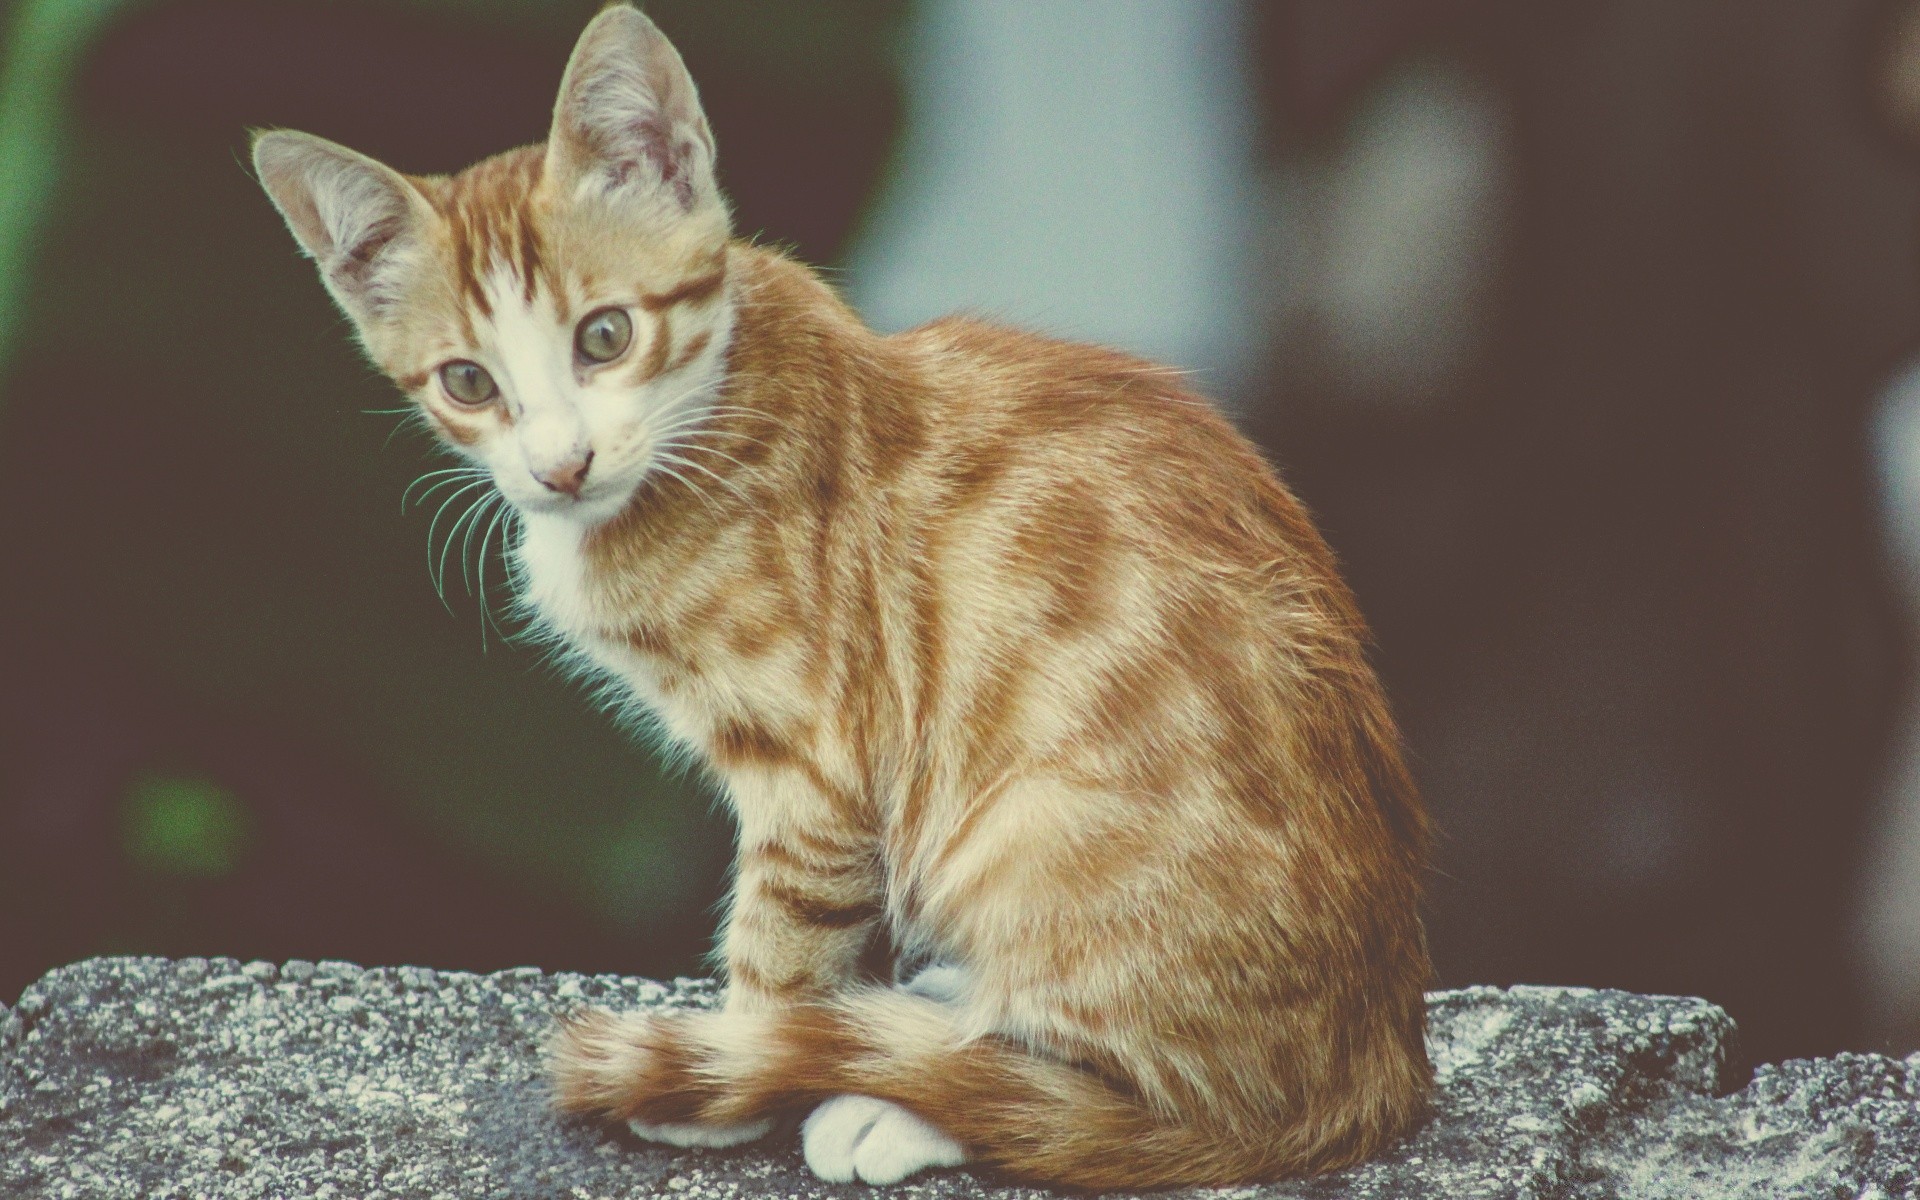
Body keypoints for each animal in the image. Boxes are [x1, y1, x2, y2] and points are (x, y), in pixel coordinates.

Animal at [251, 2, 1428, 1190]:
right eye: (469, 382)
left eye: (606, 336)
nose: (560, 465)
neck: (708, 411)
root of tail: (1374, 1069)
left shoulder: (817, 763)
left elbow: (782, 933)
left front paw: (728, 1076)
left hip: (1029, 839)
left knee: (1126, 1102)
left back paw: (908, 1096)